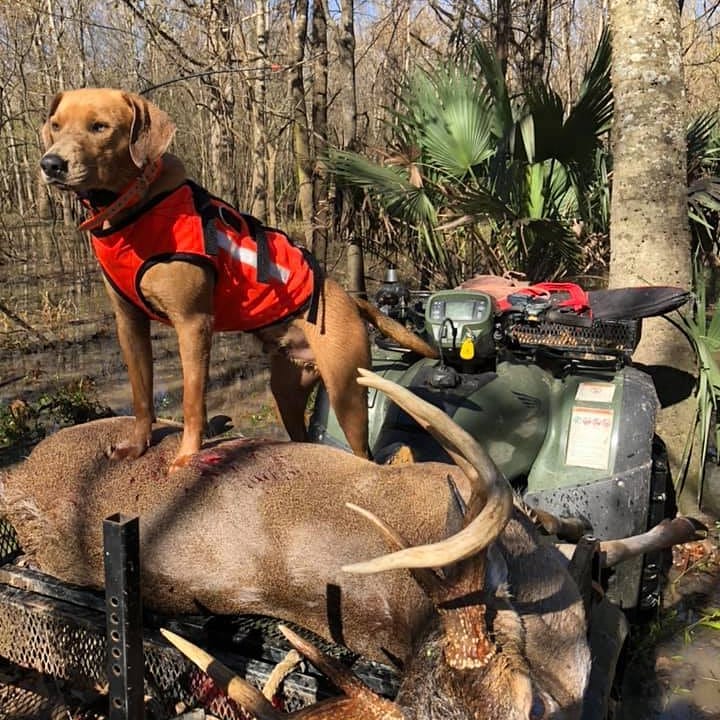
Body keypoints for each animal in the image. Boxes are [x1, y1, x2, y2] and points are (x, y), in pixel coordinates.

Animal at [42, 88, 436, 472]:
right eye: (56, 126)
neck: (134, 208)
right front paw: (138, 447)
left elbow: (191, 402)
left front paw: (186, 458)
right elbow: (142, 399)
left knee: (362, 454)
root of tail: (350, 299)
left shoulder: (193, 324)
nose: (50, 164)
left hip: (347, 393)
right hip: (286, 392)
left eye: (100, 127)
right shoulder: (129, 324)